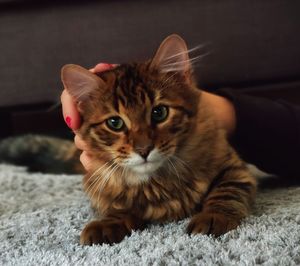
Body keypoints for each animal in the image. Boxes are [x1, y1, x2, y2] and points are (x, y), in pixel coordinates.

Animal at [59, 33, 256, 245]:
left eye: (159, 112)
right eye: (115, 123)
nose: (143, 150)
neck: (156, 181)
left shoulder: (232, 167)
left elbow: (226, 192)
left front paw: (212, 217)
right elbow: (120, 207)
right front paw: (107, 223)